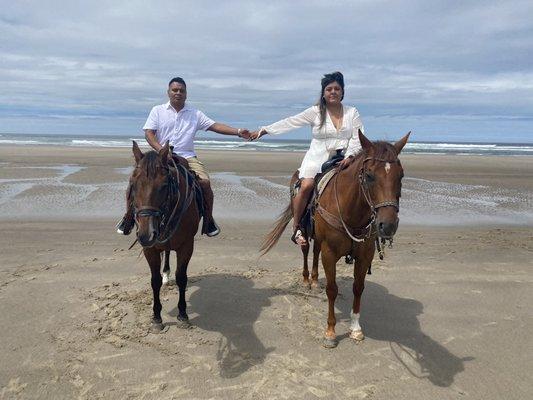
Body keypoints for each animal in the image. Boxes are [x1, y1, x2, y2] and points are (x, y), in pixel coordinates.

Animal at [130, 141, 201, 332]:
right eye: (133, 184)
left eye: (163, 186)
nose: (146, 234)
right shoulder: (150, 249)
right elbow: (154, 281)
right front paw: (156, 318)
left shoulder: (187, 246)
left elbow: (182, 278)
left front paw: (183, 315)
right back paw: (165, 275)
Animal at [260, 130, 408, 346]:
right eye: (369, 175)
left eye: (401, 175)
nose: (387, 225)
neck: (352, 213)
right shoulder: (330, 253)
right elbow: (332, 289)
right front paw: (330, 332)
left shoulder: (365, 255)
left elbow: (358, 288)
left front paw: (355, 328)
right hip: (305, 231)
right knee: (306, 251)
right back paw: (307, 280)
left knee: (315, 252)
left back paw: (314, 280)